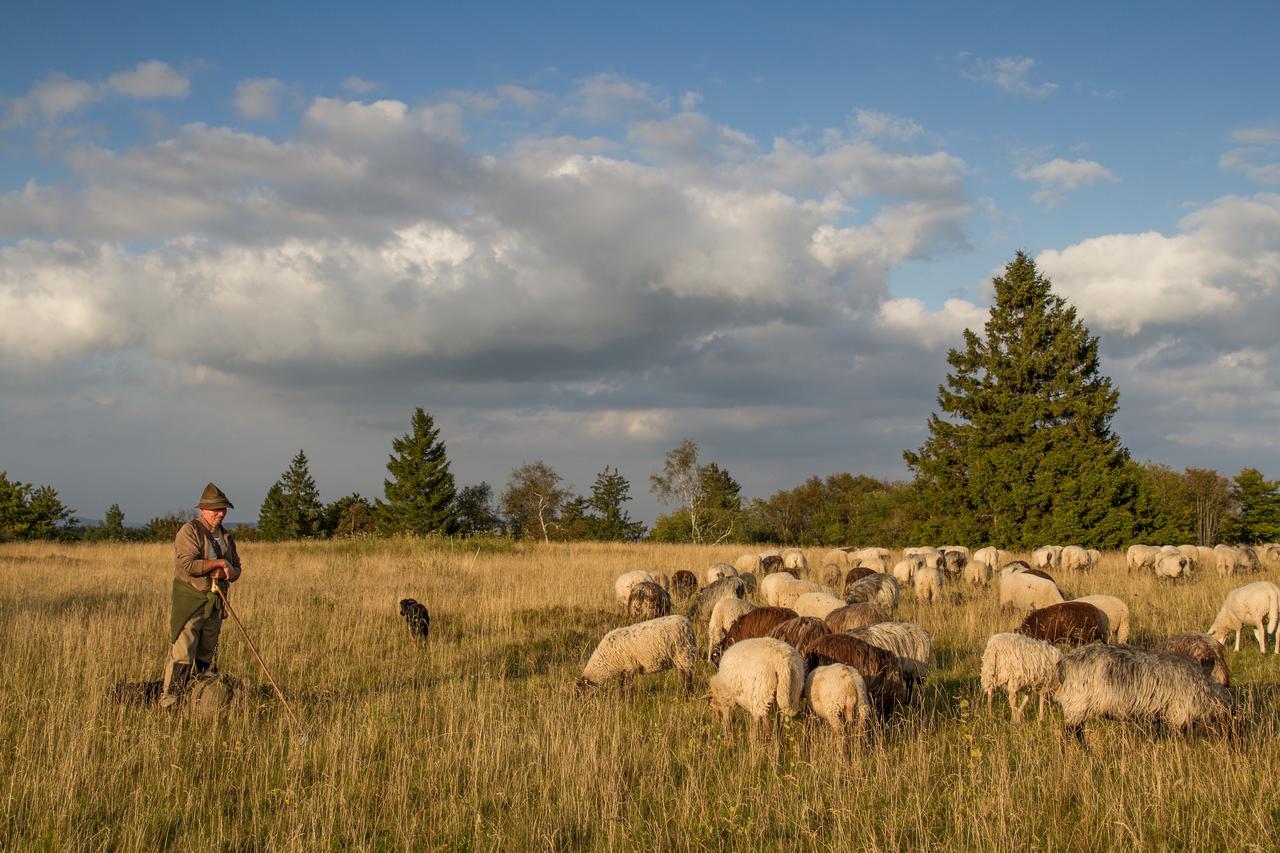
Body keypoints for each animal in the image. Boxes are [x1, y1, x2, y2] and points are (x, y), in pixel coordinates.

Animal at [1049, 640, 1239, 742]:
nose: (1233, 746)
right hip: (1077, 704)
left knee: (1077, 732)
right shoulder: (1179, 714)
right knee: (1068, 734)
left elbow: (1154, 735)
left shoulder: (1157, 713)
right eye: (1232, 725)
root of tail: (1064, 663)